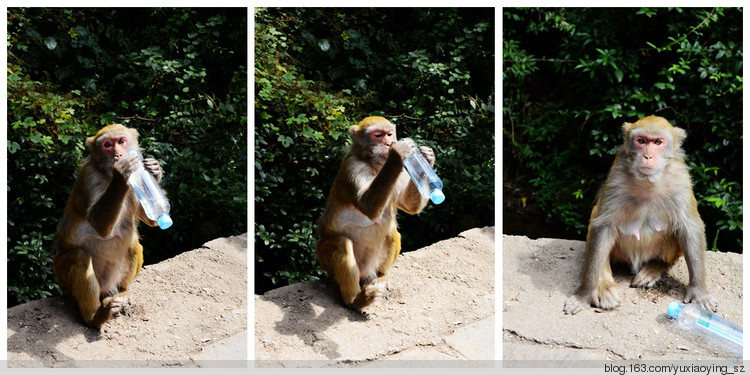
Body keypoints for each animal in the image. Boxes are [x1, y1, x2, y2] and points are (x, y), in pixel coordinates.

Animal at [316, 117, 434, 312]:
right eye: (378, 135)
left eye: (389, 134)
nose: (387, 143)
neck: (374, 164)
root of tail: (366, 272)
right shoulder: (353, 167)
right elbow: (368, 206)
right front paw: (396, 155)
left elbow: (409, 206)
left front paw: (427, 157)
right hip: (323, 258)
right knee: (341, 243)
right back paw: (355, 301)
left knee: (392, 231)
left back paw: (380, 276)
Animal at [568, 116, 720, 316]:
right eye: (641, 141)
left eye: (657, 142)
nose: (648, 156)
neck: (648, 181)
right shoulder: (617, 177)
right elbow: (603, 225)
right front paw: (585, 295)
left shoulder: (680, 178)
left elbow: (689, 227)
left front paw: (699, 293)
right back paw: (605, 285)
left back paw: (656, 267)